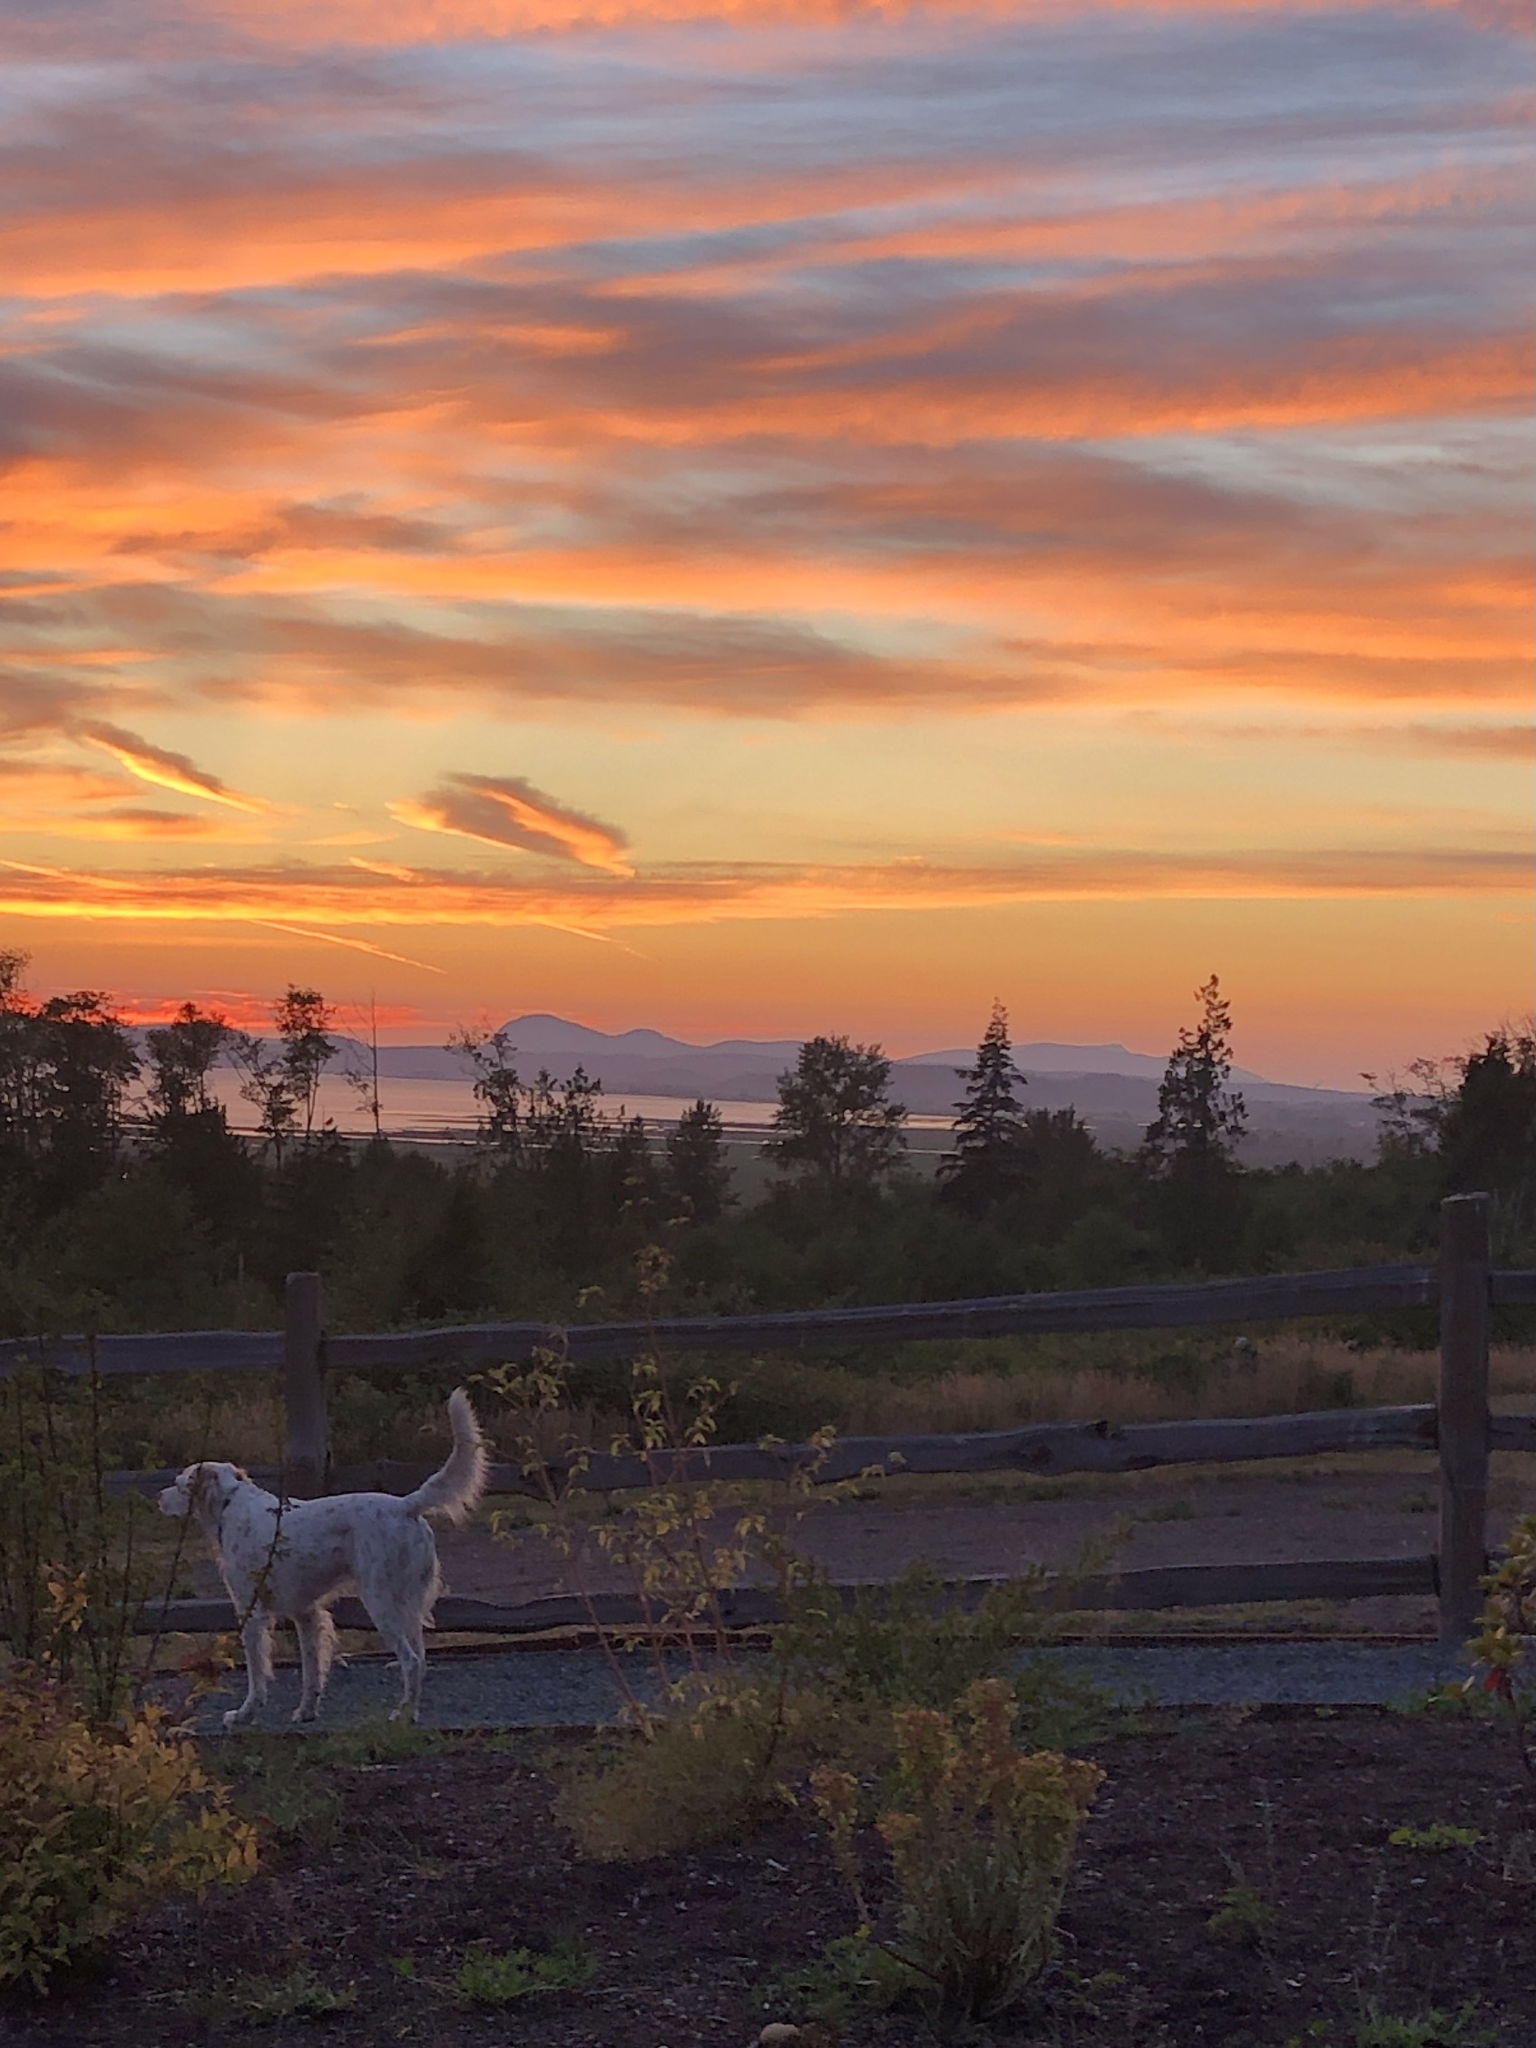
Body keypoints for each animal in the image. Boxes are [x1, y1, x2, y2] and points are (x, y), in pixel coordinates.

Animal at [161, 1392, 487, 1728]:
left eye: (179, 1484)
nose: (160, 1496)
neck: (230, 1505)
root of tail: (405, 1505)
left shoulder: (251, 1611)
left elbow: (257, 1672)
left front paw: (244, 1713)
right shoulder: (306, 1613)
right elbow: (311, 1672)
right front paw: (306, 1711)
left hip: (381, 1602)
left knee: (409, 1661)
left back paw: (401, 1714)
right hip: (409, 1605)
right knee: (420, 1660)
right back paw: (412, 1713)